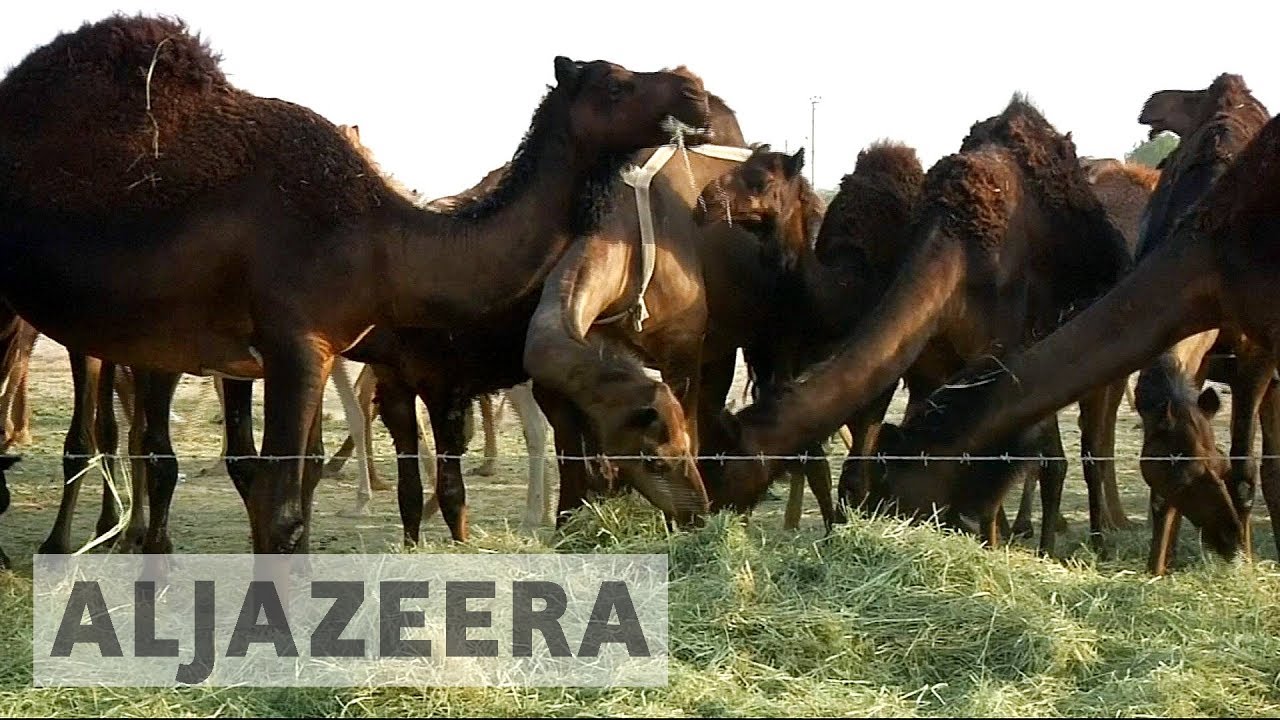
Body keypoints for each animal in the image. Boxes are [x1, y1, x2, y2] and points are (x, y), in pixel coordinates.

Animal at [0, 14, 714, 554]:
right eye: (616, 83)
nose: (694, 90)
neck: (383, 239)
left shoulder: (322, 354)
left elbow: (289, 487)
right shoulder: (297, 343)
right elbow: (281, 507)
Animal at [715, 96, 1134, 556]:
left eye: (760, 180)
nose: (705, 200)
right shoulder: (919, 365)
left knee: (1086, 449)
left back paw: (1094, 543)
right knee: (1052, 458)